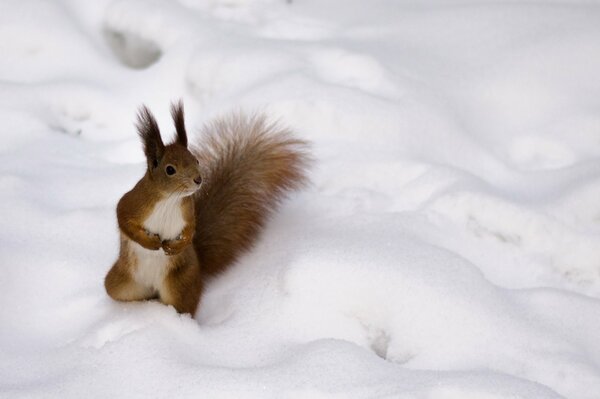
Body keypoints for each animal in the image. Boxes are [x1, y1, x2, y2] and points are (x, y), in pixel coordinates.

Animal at [104, 103, 310, 316]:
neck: (170, 199)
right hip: (119, 283)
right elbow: (123, 219)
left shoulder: (187, 211)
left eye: (196, 161)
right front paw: (150, 242)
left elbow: (190, 230)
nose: (198, 179)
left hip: (180, 285)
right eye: (170, 169)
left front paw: (175, 246)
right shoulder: (133, 203)